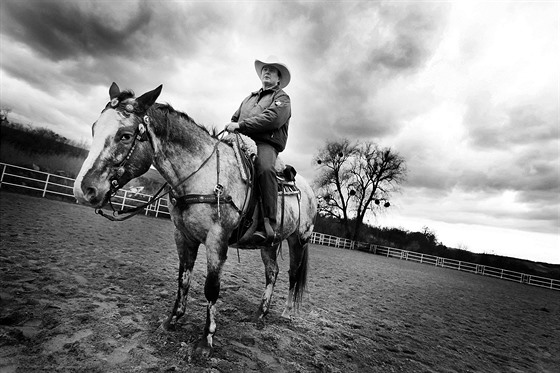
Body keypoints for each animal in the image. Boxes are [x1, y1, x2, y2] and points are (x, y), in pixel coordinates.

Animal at [72, 82, 318, 354]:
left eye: (125, 135)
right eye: (94, 128)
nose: (83, 190)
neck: (202, 174)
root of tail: (309, 190)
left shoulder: (216, 241)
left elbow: (211, 288)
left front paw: (205, 340)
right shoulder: (183, 236)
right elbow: (183, 278)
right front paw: (172, 319)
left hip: (299, 239)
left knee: (293, 274)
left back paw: (286, 313)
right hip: (269, 243)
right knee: (272, 272)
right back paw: (260, 313)